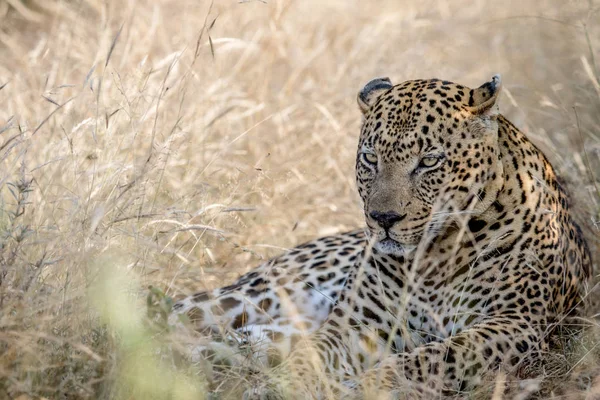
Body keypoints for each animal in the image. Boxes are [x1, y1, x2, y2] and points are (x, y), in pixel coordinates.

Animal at [171, 74, 592, 396]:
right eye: (371, 158)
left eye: (429, 161)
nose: (383, 218)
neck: (433, 258)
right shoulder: (354, 324)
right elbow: (313, 354)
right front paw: (290, 384)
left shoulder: (515, 323)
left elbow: (433, 358)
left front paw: (371, 385)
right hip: (253, 295)